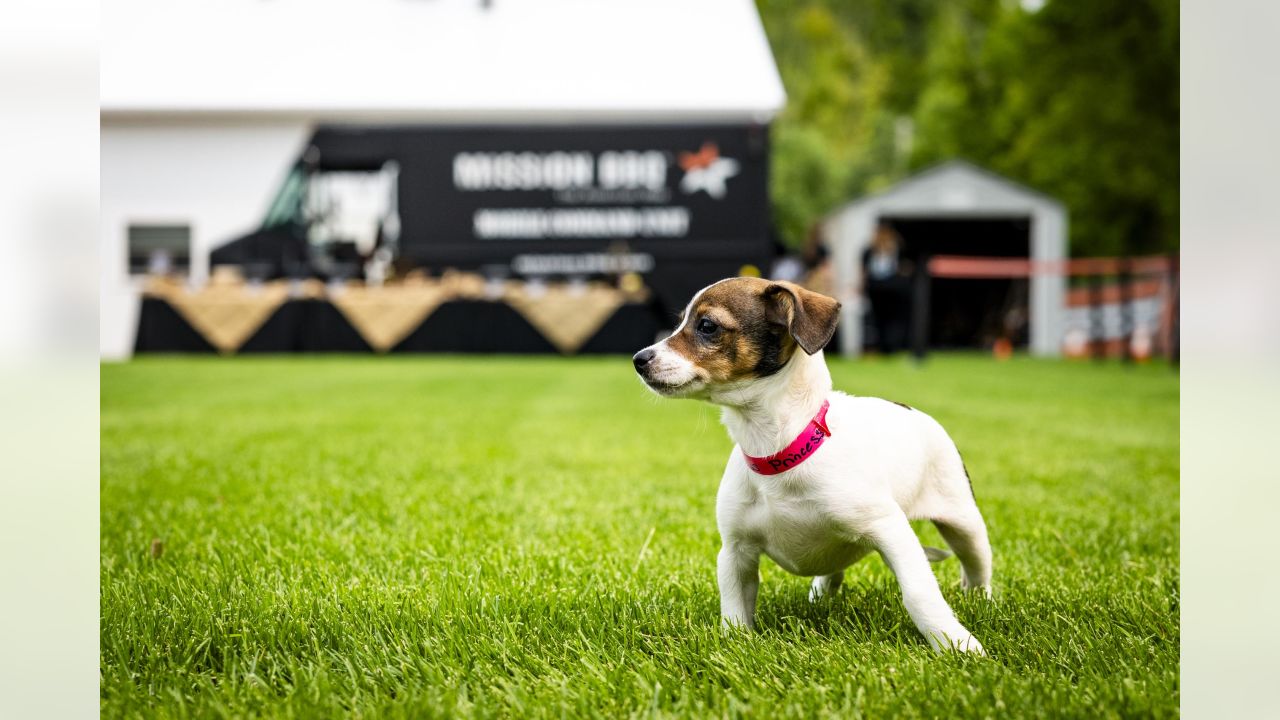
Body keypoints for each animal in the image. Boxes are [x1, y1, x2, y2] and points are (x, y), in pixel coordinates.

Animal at [634, 278, 993, 653]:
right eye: (680, 322)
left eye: (707, 325)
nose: (638, 359)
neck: (779, 451)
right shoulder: (735, 551)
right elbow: (734, 609)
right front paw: (736, 644)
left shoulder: (891, 530)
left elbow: (920, 593)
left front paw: (955, 643)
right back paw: (821, 594)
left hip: (964, 523)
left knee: (977, 567)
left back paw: (980, 601)